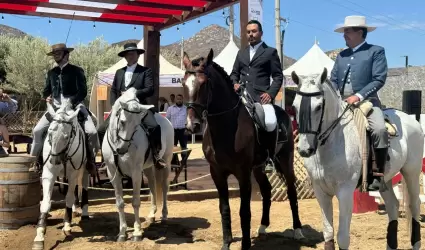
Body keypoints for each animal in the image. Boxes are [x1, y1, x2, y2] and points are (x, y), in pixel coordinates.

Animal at [32, 100, 90, 250]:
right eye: (49, 133)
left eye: (67, 136)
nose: (54, 160)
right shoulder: (49, 174)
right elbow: (46, 203)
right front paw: (39, 236)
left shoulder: (74, 173)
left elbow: (69, 198)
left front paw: (67, 225)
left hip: (84, 171)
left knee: (83, 188)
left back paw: (84, 213)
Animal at [101, 88, 174, 242]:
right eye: (122, 122)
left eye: (137, 125)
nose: (121, 149)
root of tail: (165, 119)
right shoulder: (113, 173)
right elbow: (120, 203)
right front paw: (122, 233)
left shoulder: (135, 172)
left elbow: (135, 201)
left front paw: (137, 232)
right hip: (148, 168)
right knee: (152, 186)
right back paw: (151, 215)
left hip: (166, 162)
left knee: (164, 187)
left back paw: (164, 215)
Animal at [181, 49, 304, 250]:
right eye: (183, 83)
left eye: (204, 83)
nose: (192, 125)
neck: (225, 128)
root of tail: (284, 113)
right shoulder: (217, 173)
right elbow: (224, 209)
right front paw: (226, 243)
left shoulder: (243, 173)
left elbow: (244, 211)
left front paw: (245, 245)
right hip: (259, 168)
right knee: (267, 190)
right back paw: (263, 227)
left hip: (286, 161)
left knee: (292, 192)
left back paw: (298, 230)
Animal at [290, 67, 422, 249]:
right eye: (294, 106)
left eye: (318, 107)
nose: (304, 149)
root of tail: (411, 119)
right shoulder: (321, 192)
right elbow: (328, 233)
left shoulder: (344, 191)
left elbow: (342, 237)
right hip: (386, 180)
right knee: (393, 206)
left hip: (411, 172)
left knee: (414, 206)